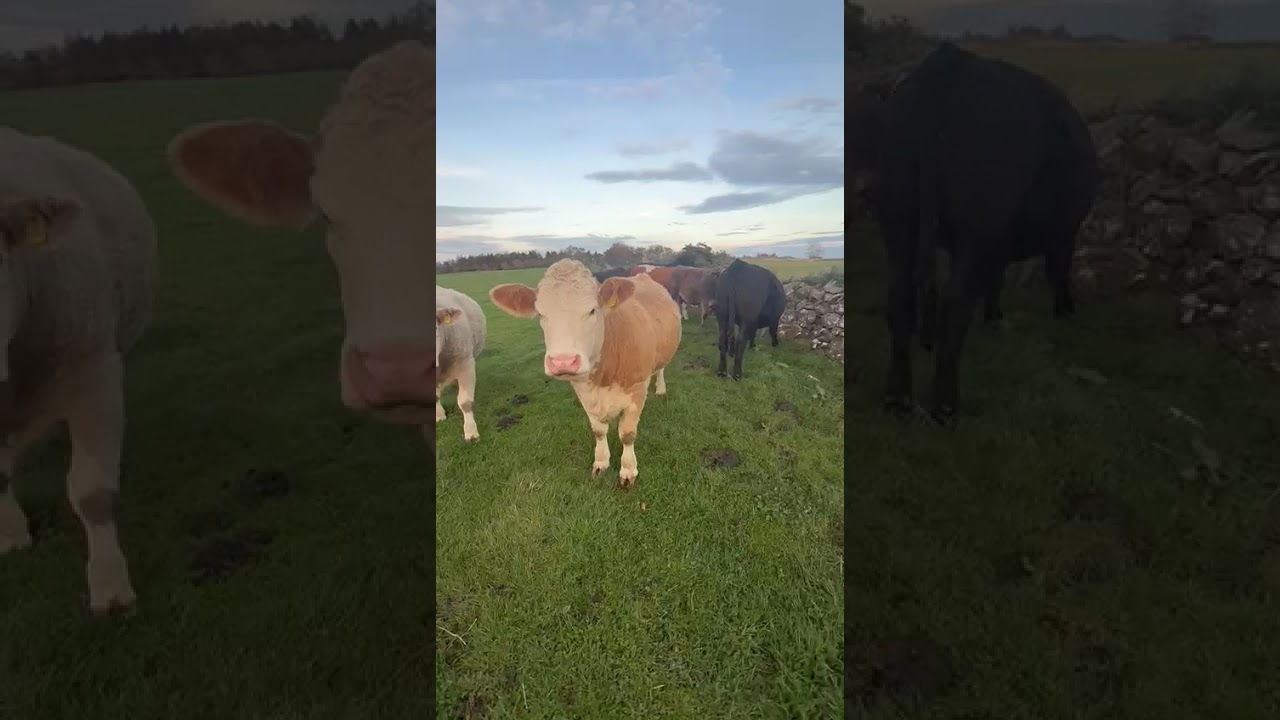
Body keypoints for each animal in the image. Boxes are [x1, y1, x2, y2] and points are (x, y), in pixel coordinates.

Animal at [489, 260, 680, 489]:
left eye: (592, 310)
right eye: (541, 314)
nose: (563, 361)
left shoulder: (636, 390)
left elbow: (627, 434)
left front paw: (628, 470)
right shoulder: (583, 390)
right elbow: (598, 430)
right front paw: (601, 463)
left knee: (660, 369)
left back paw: (660, 388)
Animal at [848, 42, 1100, 424]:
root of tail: (949, 63)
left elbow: (996, 278)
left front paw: (994, 317)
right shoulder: (1061, 233)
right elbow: (1057, 272)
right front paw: (1063, 309)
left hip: (898, 219)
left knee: (901, 297)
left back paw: (897, 396)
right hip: (975, 226)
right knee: (956, 301)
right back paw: (946, 405)